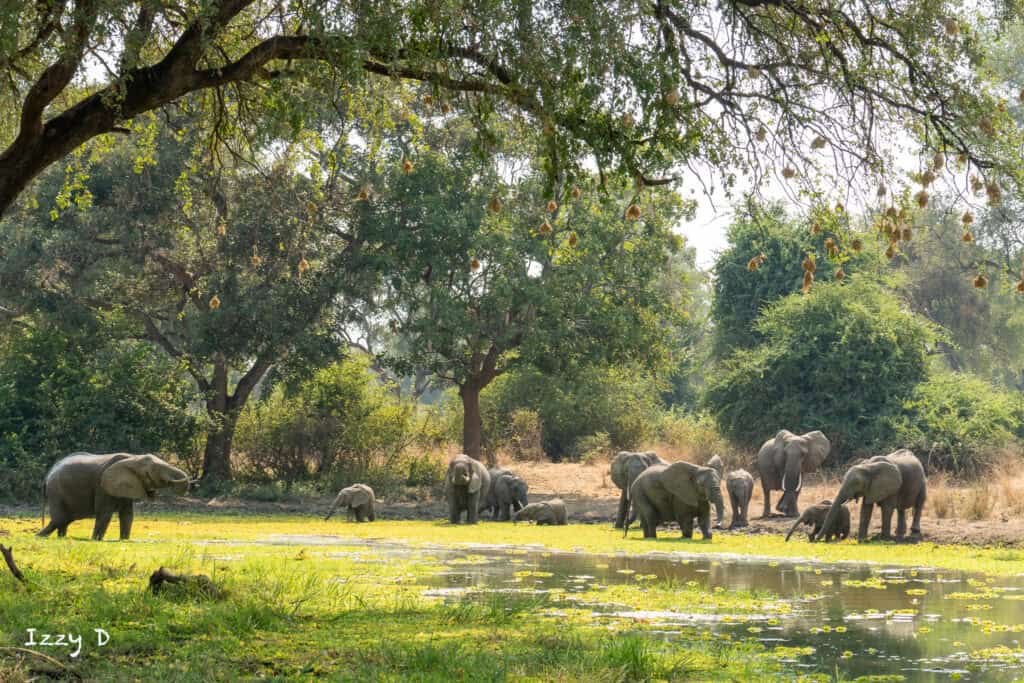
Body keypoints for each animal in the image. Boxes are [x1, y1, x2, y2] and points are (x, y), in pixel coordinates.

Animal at [39, 452, 190, 541]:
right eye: (155, 471)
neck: (133, 459)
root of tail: (48, 474)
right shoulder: (102, 486)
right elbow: (105, 513)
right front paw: (95, 540)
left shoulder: (127, 485)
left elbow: (127, 515)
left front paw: (124, 540)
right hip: (56, 491)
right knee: (60, 519)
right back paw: (40, 536)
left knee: (64, 520)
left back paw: (60, 538)